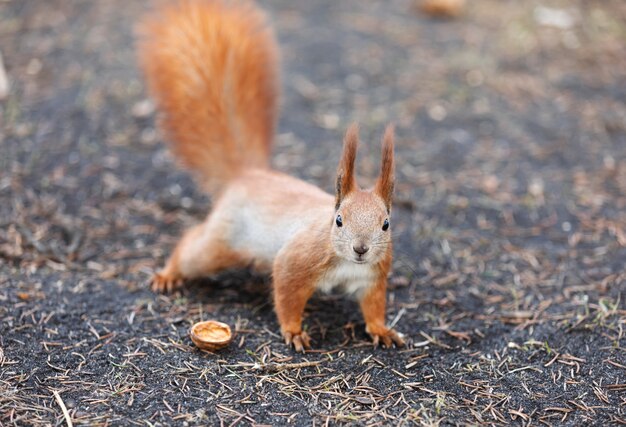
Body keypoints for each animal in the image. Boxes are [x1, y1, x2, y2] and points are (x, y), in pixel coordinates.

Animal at [135, 0, 404, 352]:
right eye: (338, 220)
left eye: (386, 224)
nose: (361, 249)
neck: (347, 262)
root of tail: (246, 175)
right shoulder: (296, 260)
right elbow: (287, 294)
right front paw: (294, 331)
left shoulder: (374, 277)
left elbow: (373, 307)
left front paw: (382, 330)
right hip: (220, 241)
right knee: (192, 246)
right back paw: (168, 274)